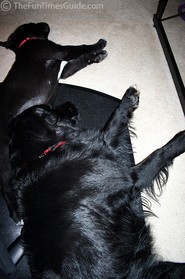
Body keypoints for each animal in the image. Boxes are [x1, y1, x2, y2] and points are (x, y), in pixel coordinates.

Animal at [0, 22, 107, 217]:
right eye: (32, 23)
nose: (45, 23)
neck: (27, 42)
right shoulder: (61, 50)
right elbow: (80, 48)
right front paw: (99, 45)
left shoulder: (64, 70)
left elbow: (78, 62)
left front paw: (96, 57)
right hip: (3, 153)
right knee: (5, 185)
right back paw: (16, 213)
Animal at [7, 87, 185, 278]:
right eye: (49, 108)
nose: (71, 104)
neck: (41, 155)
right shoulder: (129, 177)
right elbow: (158, 154)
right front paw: (181, 139)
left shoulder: (104, 146)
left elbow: (113, 121)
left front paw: (128, 99)